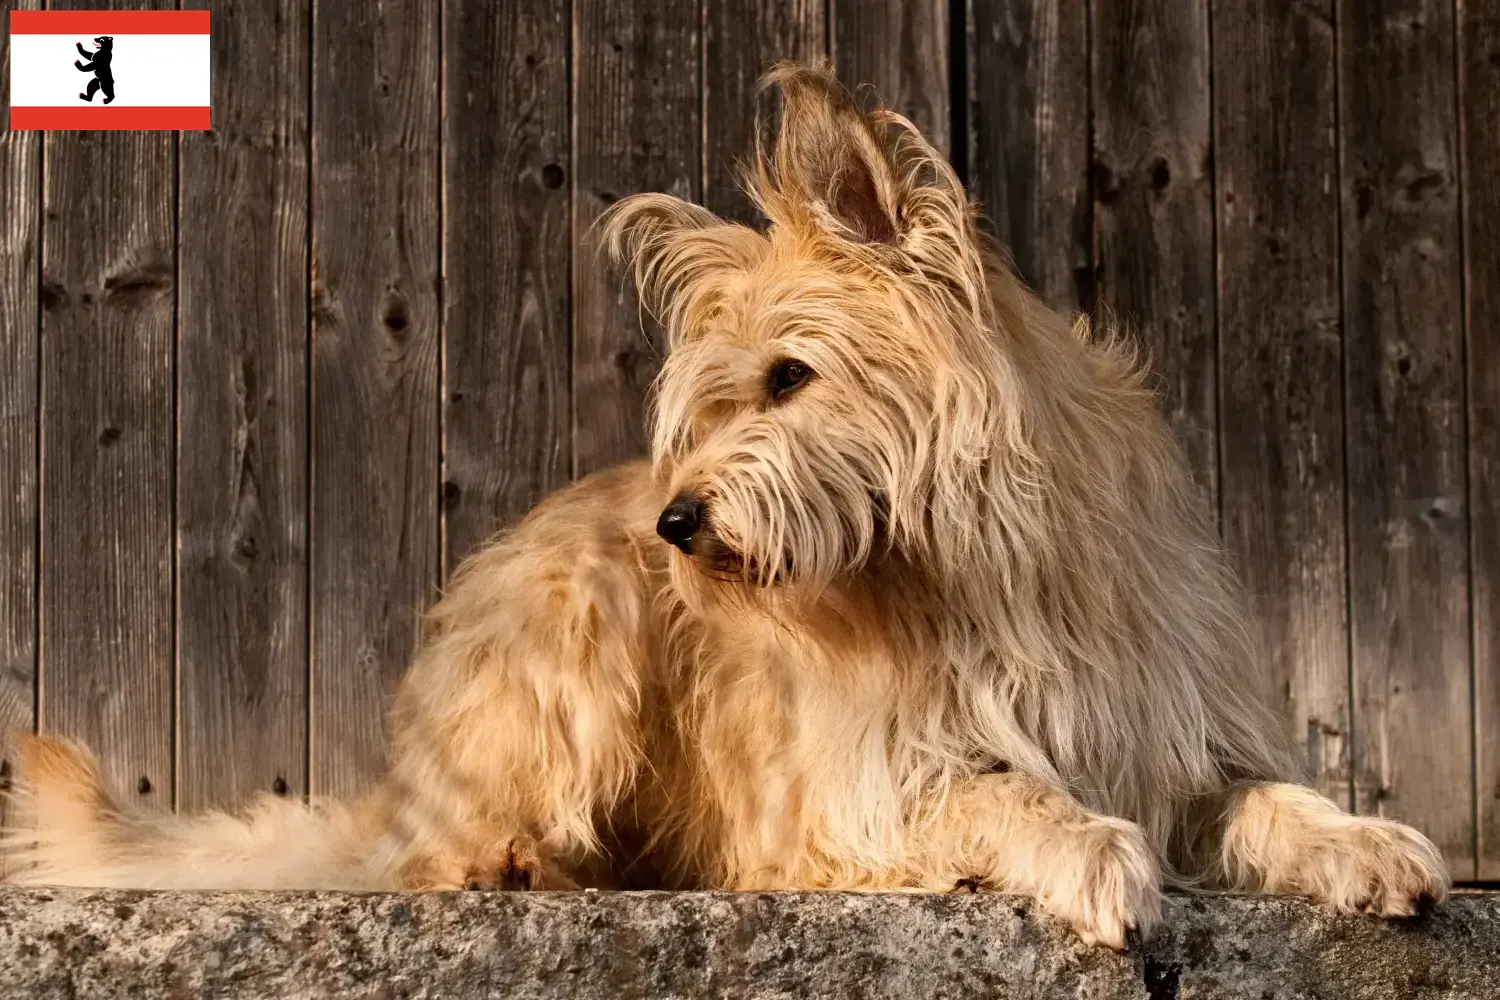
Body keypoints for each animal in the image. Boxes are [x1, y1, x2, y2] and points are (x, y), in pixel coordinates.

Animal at [2, 60, 1452, 947]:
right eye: (713, 402)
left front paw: (1363, 839)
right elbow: (1000, 792)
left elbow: (1267, 795)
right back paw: (520, 861)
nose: (677, 526)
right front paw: (1090, 846)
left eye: (791, 376)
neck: (981, 571)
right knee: (432, 855)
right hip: (574, 631)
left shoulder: (1174, 732)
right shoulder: (862, 788)